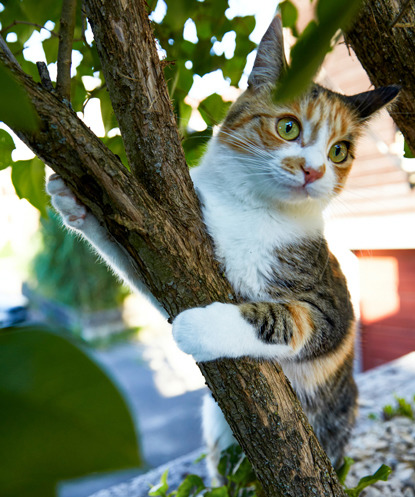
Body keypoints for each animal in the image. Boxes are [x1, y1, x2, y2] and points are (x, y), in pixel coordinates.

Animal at [47, 15, 402, 478]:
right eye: (289, 126)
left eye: (339, 152)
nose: (314, 170)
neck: (251, 206)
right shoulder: (177, 245)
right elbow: (137, 253)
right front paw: (77, 200)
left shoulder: (333, 308)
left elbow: (287, 319)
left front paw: (200, 326)